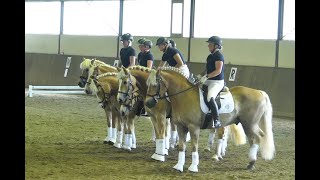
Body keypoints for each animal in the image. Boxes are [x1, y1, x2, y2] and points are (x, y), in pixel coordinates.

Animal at [145, 67, 276, 172]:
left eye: (154, 84)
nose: (147, 103)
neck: (183, 96)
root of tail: (260, 92)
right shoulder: (182, 127)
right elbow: (182, 147)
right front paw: (179, 166)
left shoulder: (193, 127)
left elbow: (194, 146)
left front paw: (193, 167)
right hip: (249, 124)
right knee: (258, 137)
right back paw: (250, 162)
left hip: (249, 124)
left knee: (256, 138)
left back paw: (251, 163)